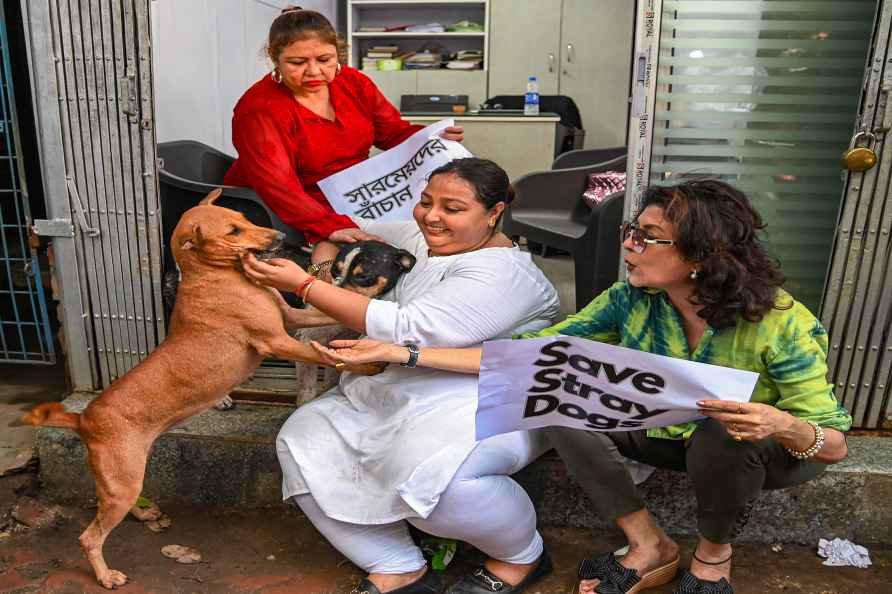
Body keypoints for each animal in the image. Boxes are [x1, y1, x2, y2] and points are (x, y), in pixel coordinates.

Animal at [15, 190, 380, 588]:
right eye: (234, 230)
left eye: (243, 217)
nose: (282, 238)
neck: (212, 276)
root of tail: (83, 420)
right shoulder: (277, 340)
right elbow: (326, 355)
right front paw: (370, 362)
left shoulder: (292, 317)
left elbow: (329, 312)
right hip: (121, 480)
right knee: (89, 536)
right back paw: (106, 575)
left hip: (124, 478)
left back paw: (143, 515)